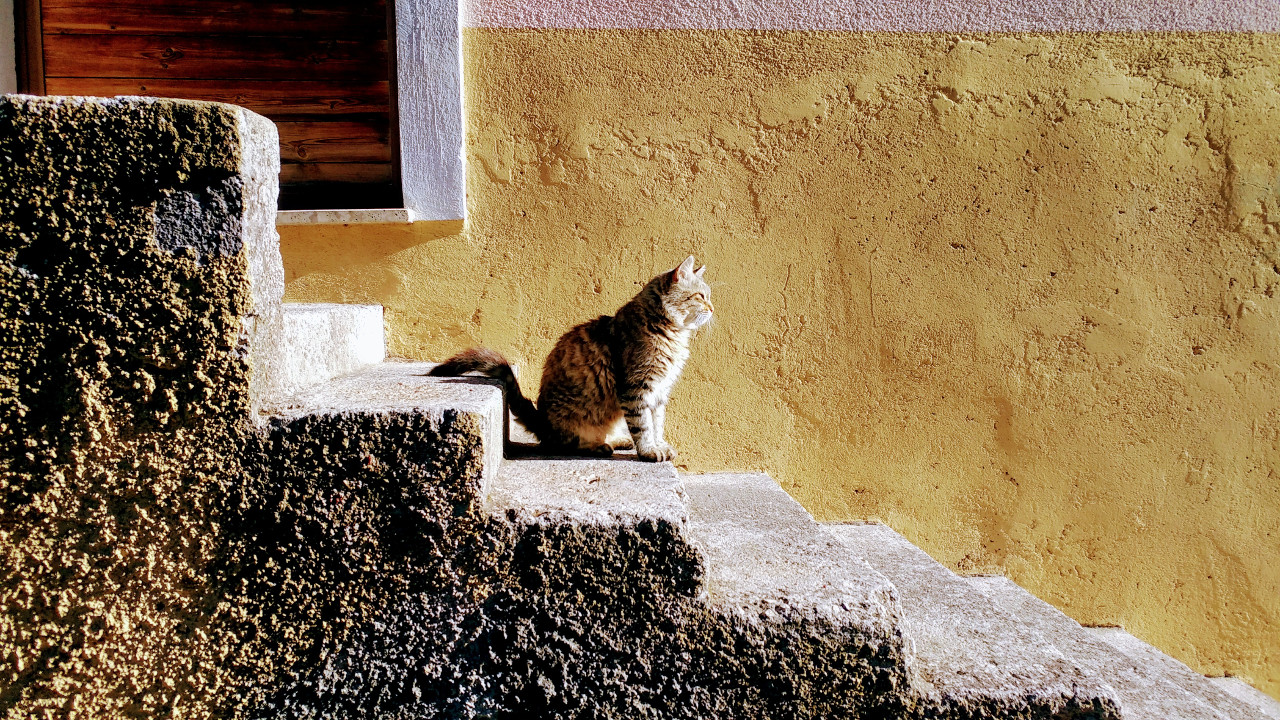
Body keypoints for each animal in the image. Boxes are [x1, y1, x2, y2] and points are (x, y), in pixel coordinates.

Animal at [427, 254, 711, 461]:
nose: (713, 308)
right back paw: (598, 447)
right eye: (701, 296)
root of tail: (542, 422)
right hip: (573, 422)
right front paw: (649, 451)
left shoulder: (660, 392)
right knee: (566, 444)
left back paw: (616, 440)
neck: (669, 332)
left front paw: (660, 445)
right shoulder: (637, 389)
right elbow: (643, 426)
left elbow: (657, 423)